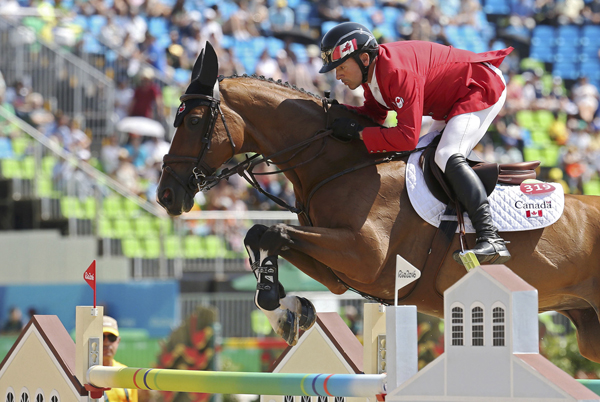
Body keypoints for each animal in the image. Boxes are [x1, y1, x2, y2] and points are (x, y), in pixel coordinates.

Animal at [158, 44, 600, 364]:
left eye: (193, 121)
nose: (166, 195)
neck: (337, 164)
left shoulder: (364, 256)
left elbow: (273, 231)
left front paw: (276, 303)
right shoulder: (339, 270)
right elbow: (263, 233)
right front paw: (286, 311)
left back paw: (489, 245)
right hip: (588, 328)